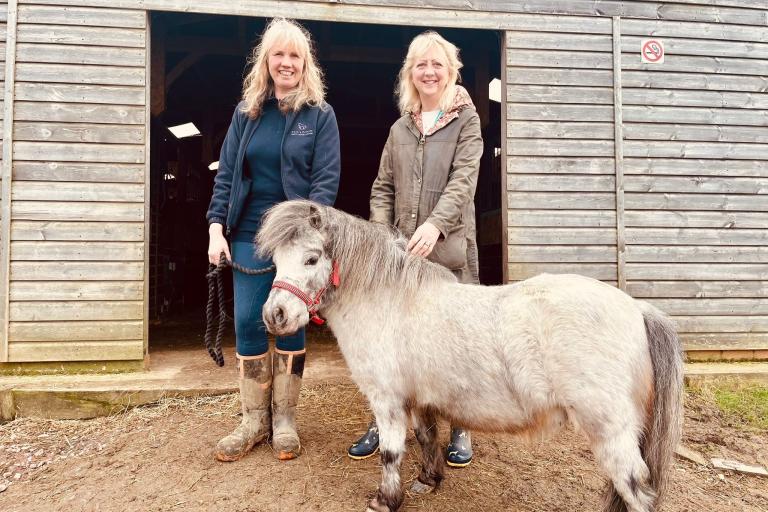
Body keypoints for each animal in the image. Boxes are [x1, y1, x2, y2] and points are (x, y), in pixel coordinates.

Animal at [258, 199, 684, 512]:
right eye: (276, 261)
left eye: (312, 258)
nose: (274, 315)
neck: (390, 299)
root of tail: (637, 309)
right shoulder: (418, 400)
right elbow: (426, 437)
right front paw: (428, 481)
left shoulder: (388, 400)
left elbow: (391, 454)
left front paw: (385, 500)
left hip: (610, 432)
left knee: (635, 488)